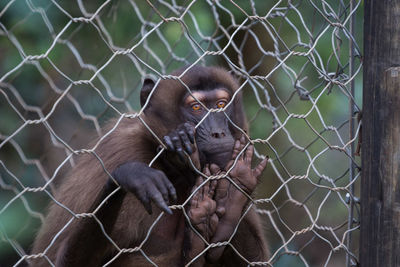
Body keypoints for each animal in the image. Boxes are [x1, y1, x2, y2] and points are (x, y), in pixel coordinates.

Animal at [30, 66, 268, 266]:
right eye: (196, 107)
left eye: (221, 105)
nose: (218, 133)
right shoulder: (123, 148)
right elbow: (57, 260)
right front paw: (129, 176)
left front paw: (235, 195)